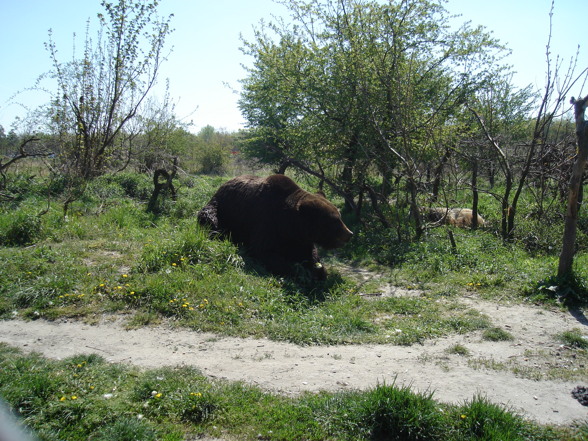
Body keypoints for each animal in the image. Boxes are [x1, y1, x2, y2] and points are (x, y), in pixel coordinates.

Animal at [198, 173, 354, 278]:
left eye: (339, 216)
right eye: (334, 221)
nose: (349, 234)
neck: (289, 223)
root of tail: (224, 183)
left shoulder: (299, 238)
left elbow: (310, 254)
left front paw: (319, 269)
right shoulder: (266, 224)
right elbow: (265, 252)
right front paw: (298, 270)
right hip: (220, 207)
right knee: (210, 219)